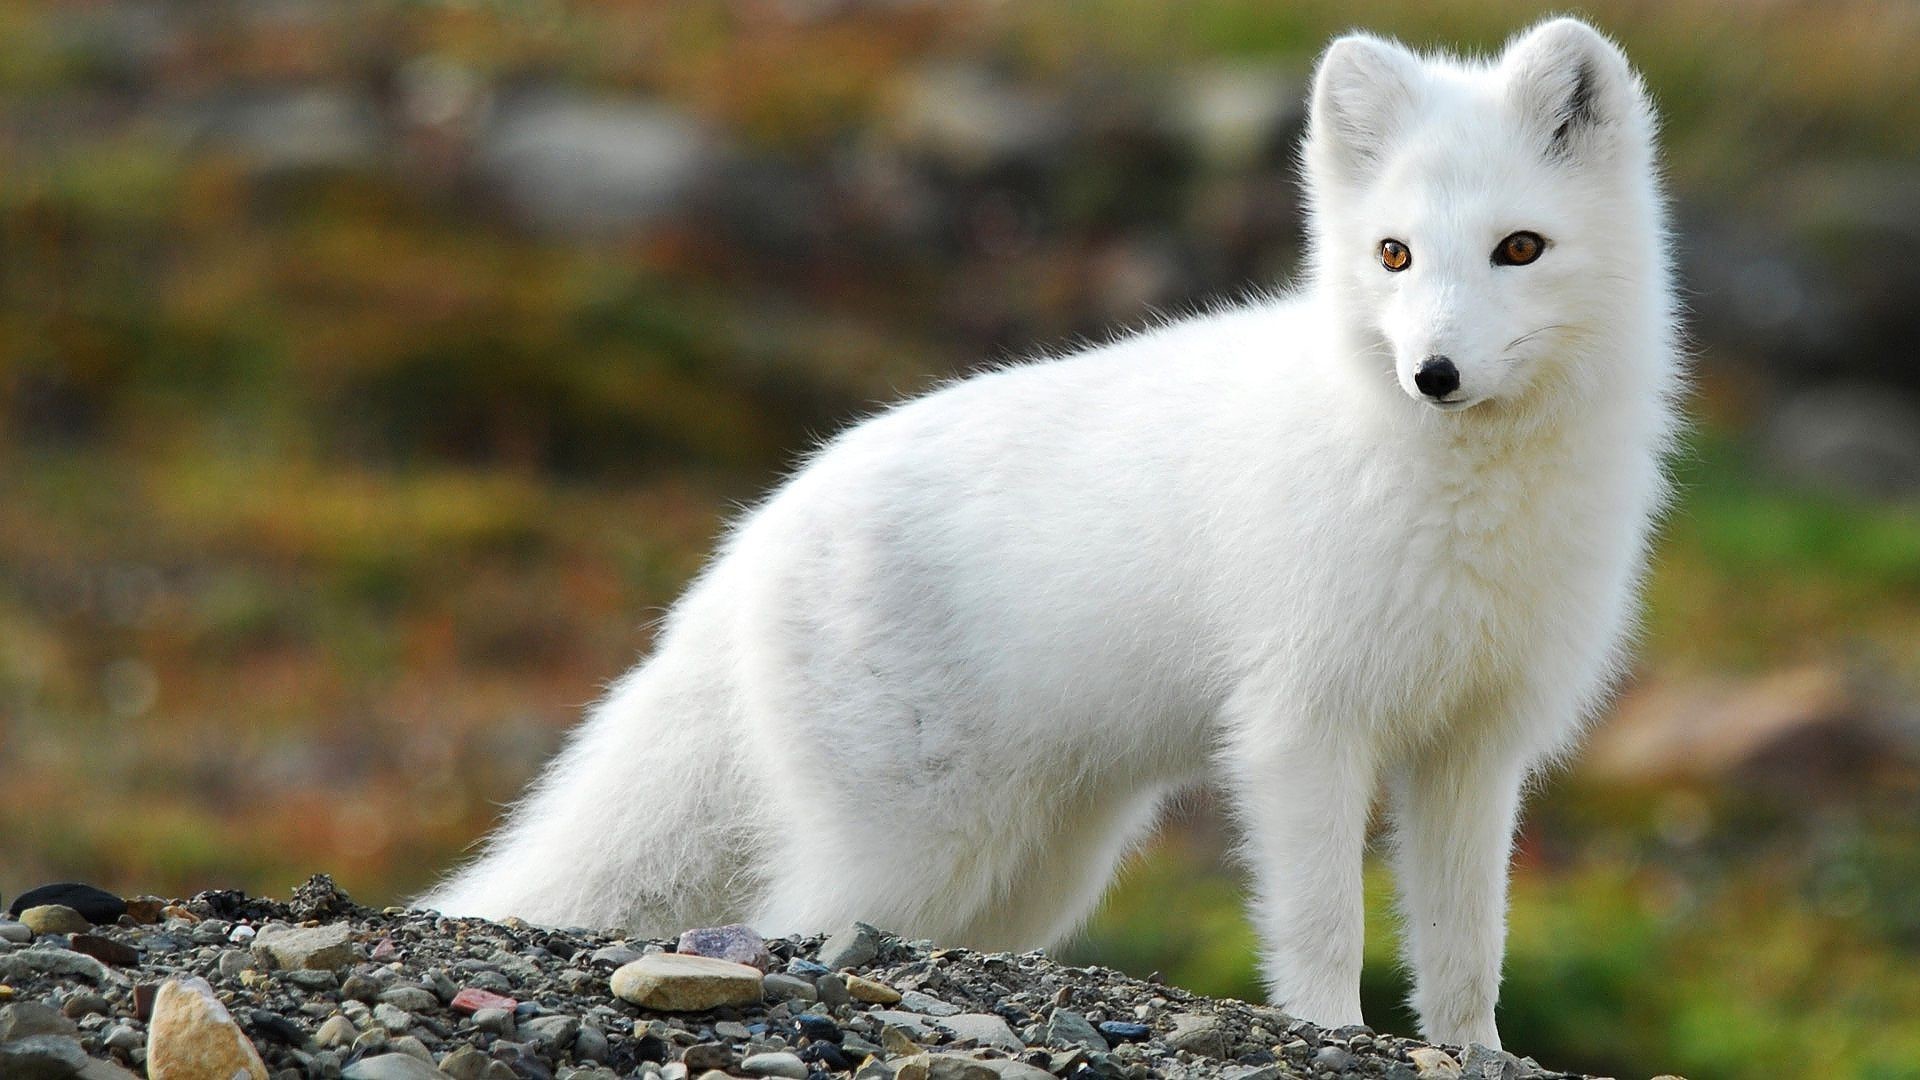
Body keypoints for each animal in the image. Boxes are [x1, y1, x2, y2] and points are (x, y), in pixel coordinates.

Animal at [424, 14, 1681, 1045]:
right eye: (1394, 254)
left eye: (1520, 248)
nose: (1434, 374)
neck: (1468, 502)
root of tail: (761, 527)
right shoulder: (1302, 727)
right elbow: (1324, 927)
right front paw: (1331, 1031)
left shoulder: (1477, 743)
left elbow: (1467, 949)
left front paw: (1478, 1053)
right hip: (914, 846)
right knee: (795, 920)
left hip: (1040, 865)